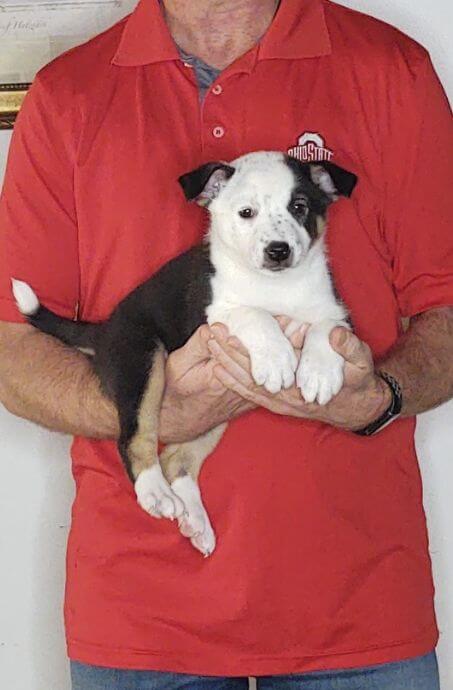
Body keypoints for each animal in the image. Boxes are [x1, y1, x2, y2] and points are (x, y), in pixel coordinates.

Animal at [11, 150, 356, 552]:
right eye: (246, 212)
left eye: (299, 206)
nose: (278, 251)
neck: (277, 286)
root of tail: (106, 329)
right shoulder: (216, 315)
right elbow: (253, 315)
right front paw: (277, 358)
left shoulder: (334, 310)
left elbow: (326, 328)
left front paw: (319, 374)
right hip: (142, 361)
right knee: (136, 437)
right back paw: (155, 493)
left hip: (216, 410)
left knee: (176, 457)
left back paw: (195, 520)